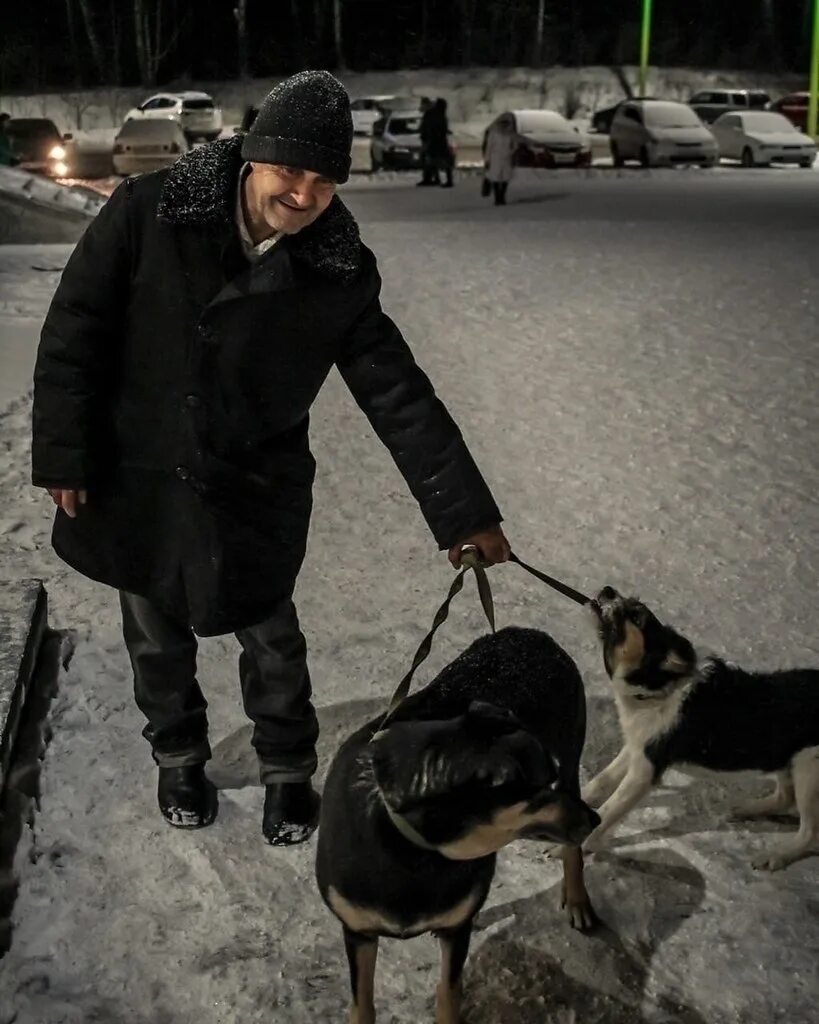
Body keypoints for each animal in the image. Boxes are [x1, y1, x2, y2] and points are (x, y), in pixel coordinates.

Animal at [317, 622, 597, 1024]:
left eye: (550, 781)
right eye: (537, 794)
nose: (596, 819)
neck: (415, 850)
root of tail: (530, 632)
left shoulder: (454, 931)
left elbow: (448, 992)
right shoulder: (359, 932)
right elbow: (363, 1003)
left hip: (572, 756)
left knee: (572, 851)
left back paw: (577, 899)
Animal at [581, 589, 818, 868]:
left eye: (637, 616)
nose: (608, 589)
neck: (661, 690)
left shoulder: (644, 771)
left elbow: (609, 809)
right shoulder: (638, 747)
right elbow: (602, 780)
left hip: (808, 772)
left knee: (809, 832)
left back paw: (776, 855)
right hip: (785, 759)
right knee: (784, 797)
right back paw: (748, 809)